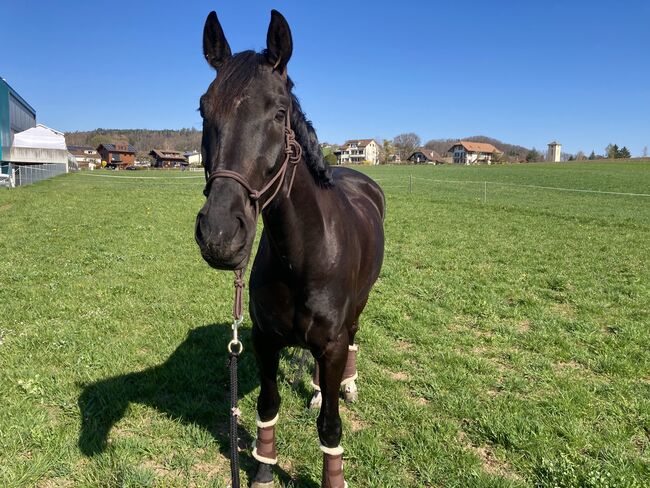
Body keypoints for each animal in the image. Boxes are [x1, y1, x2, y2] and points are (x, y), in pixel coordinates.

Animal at [194, 9, 384, 486]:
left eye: (278, 112)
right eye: (203, 108)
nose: (219, 234)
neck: (305, 254)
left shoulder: (332, 344)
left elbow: (330, 426)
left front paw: (334, 477)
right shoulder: (264, 339)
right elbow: (267, 404)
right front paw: (263, 468)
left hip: (359, 309)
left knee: (353, 340)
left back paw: (346, 386)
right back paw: (316, 389)